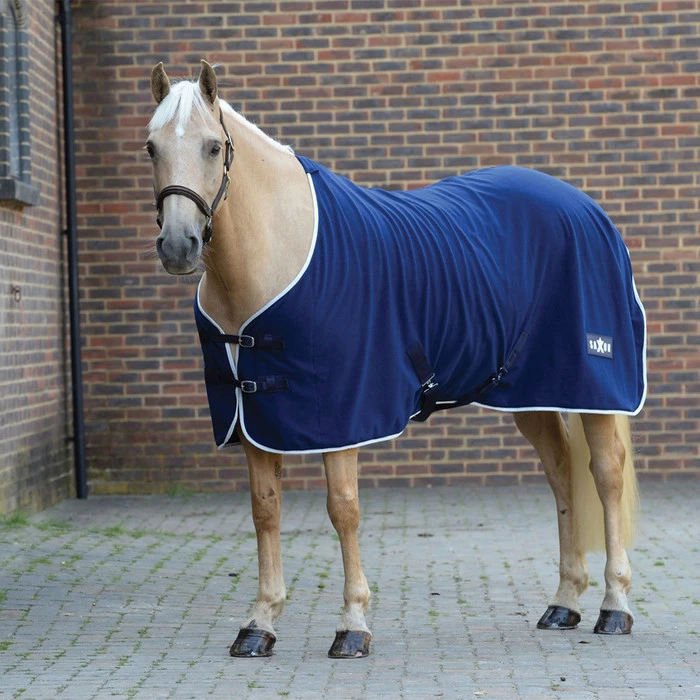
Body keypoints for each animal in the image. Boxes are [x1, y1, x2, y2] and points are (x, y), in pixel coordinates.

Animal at [145, 60, 645, 659]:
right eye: (151, 147)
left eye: (214, 146)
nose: (179, 245)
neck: (278, 254)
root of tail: (591, 211)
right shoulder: (253, 417)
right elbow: (265, 509)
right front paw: (259, 623)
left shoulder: (340, 414)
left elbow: (343, 509)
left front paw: (353, 625)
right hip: (536, 393)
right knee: (562, 475)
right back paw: (564, 602)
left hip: (595, 388)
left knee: (606, 475)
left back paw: (614, 607)